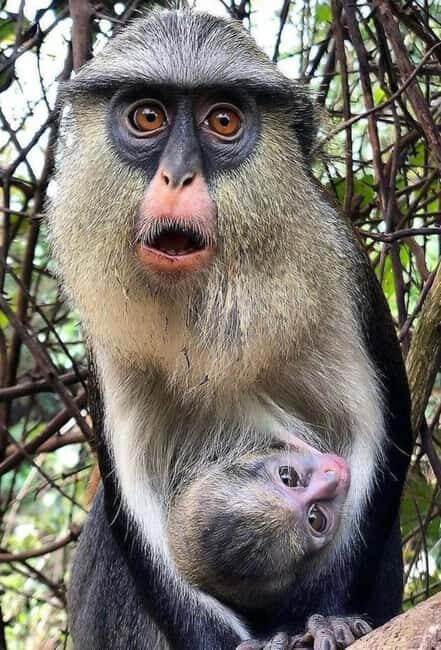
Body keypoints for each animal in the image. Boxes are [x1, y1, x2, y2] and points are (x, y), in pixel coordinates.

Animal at [47, 7, 412, 649]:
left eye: (223, 119)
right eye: (147, 116)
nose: (178, 176)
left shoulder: (342, 277)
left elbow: (382, 440)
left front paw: (331, 618)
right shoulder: (107, 344)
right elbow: (133, 512)